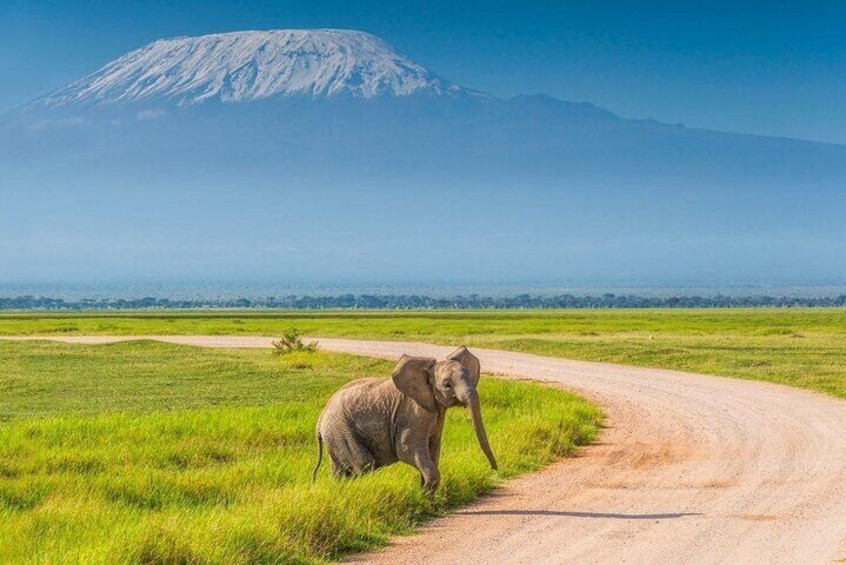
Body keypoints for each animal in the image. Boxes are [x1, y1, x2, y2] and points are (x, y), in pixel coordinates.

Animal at [312, 344, 496, 490]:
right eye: (447, 385)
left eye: (470, 377)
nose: (493, 471)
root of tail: (320, 420)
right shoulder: (412, 413)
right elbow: (406, 449)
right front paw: (425, 496)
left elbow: (433, 449)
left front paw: (425, 496)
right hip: (342, 432)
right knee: (364, 464)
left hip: (335, 436)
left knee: (340, 471)